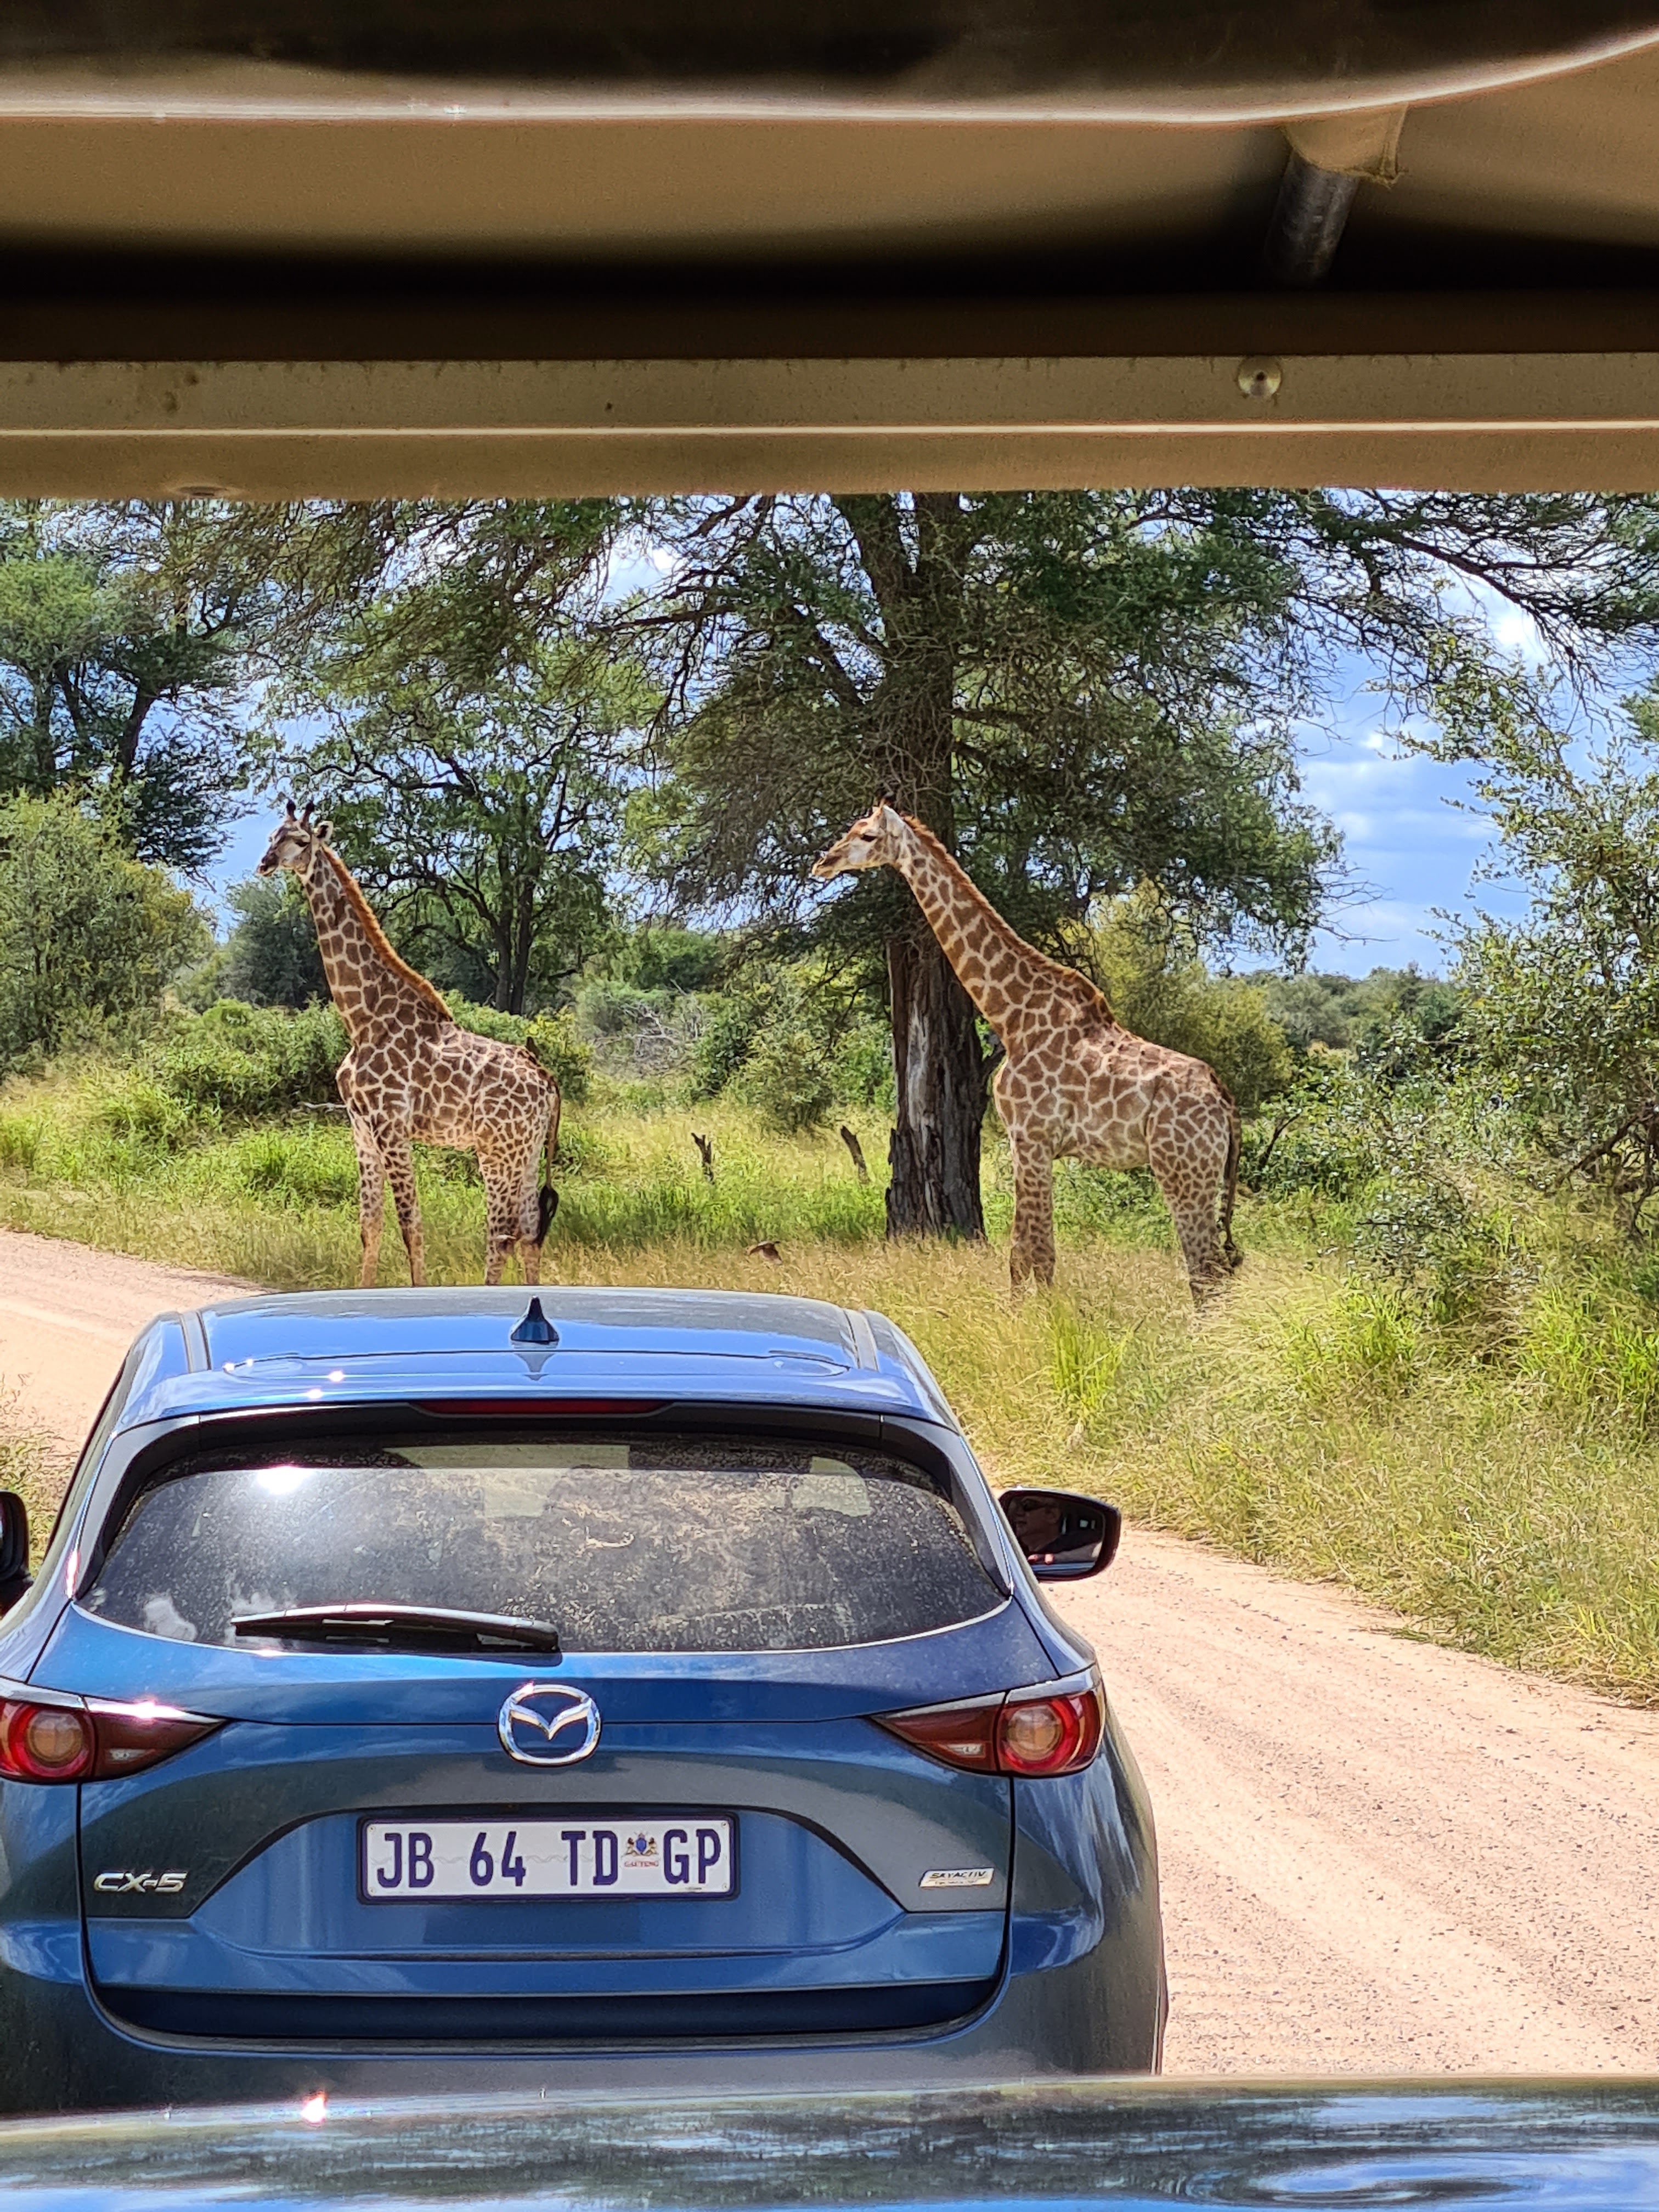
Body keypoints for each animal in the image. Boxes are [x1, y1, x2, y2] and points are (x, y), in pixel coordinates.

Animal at [256, 802, 561, 1290]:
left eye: (301, 841)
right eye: (272, 835)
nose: (265, 864)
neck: (362, 1019)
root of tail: (548, 1082)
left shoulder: (391, 1125)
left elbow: (409, 1224)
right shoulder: (360, 1127)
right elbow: (370, 1224)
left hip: (497, 1149)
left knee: (502, 1234)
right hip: (527, 1151)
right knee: (531, 1232)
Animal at [813, 804, 1242, 1298]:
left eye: (867, 835)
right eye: (849, 829)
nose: (823, 862)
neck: (1011, 1016)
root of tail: (1226, 1104)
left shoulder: (1029, 1137)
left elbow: (1026, 1256)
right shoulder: (1038, 1145)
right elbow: (1040, 1255)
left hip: (1183, 1171)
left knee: (1206, 1272)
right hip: (1202, 1174)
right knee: (1213, 1272)